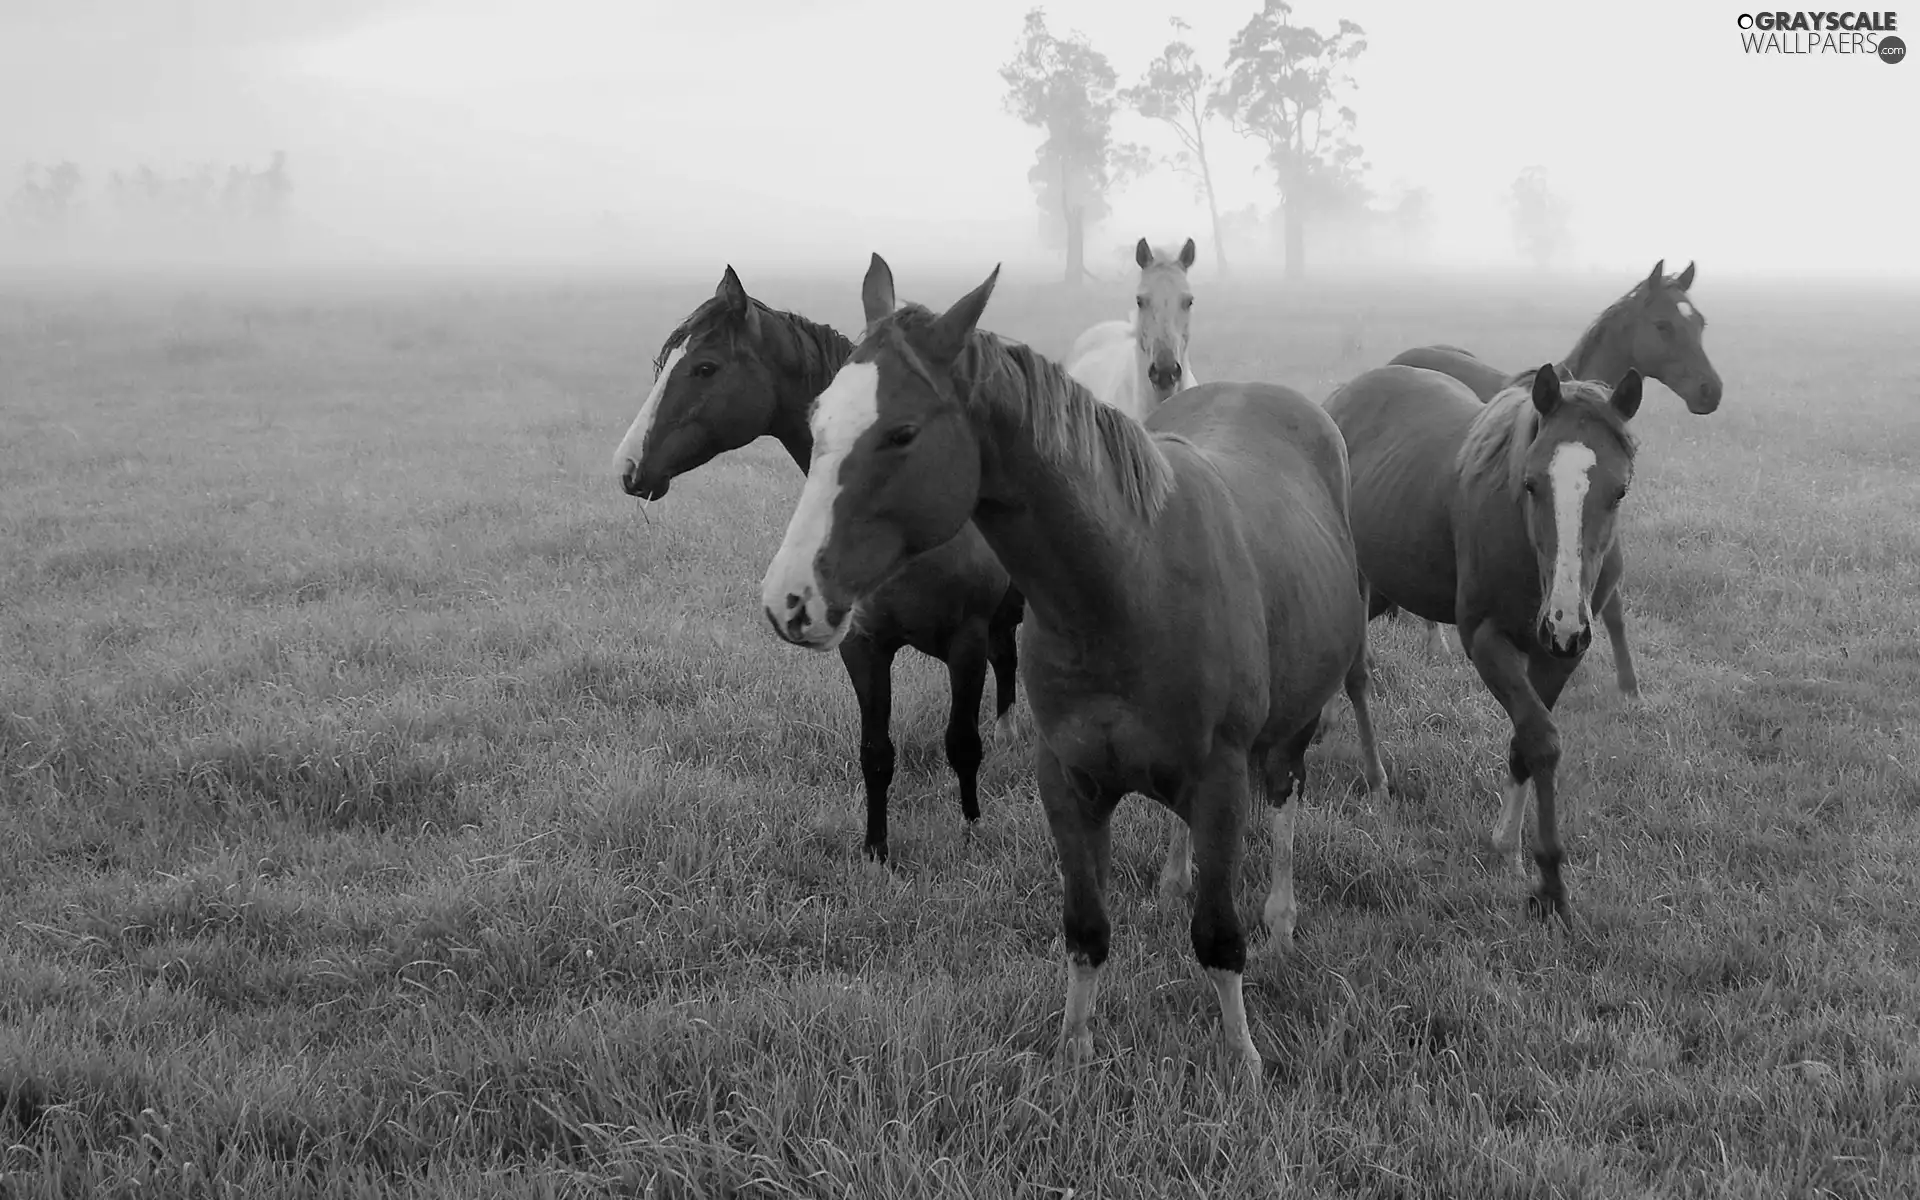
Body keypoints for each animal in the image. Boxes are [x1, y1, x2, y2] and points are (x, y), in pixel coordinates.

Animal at [610, 261, 1029, 860]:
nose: (628, 467)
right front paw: (876, 852)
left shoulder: (964, 643)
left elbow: (962, 745)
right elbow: (876, 754)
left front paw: (971, 828)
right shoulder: (863, 647)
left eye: (705, 367)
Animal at [756, 257, 1390, 1082]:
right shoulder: (1067, 780)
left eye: (901, 432)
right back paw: (1175, 880)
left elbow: (1219, 935)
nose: (789, 600)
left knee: (1283, 801)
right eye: (816, 421)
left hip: (1294, 725)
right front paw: (1075, 1051)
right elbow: (1086, 927)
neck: (1126, 584)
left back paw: (1281, 921)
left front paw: (1242, 1059)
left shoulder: (1220, 777)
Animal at [1328, 360, 1643, 921]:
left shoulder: (1556, 656)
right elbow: (1541, 740)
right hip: (1357, 577)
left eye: (1620, 490)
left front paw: (1507, 849)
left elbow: (1526, 740)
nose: (1564, 621)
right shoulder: (1486, 640)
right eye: (1532, 484)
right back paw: (1376, 777)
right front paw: (1550, 883)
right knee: (1357, 676)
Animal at [1390, 261, 1720, 691]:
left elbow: (1611, 606)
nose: (1710, 391)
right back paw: (1435, 643)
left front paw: (1629, 687)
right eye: (1663, 325)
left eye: (1699, 322)